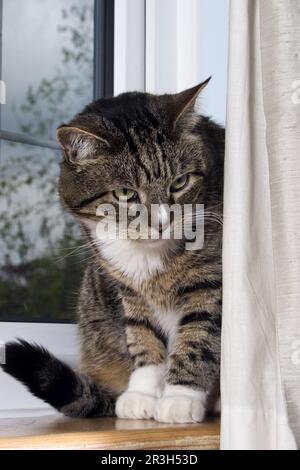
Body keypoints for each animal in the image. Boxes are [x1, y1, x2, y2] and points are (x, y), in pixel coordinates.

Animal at [1, 79, 224, 424]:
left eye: (180, 182)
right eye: (124, 193)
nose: (162, 223)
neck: (146, 256)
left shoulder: (210, 281)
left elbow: (197, 336)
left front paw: (179, 397)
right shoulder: (127, 288)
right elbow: (143, 337)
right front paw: (143, 394)